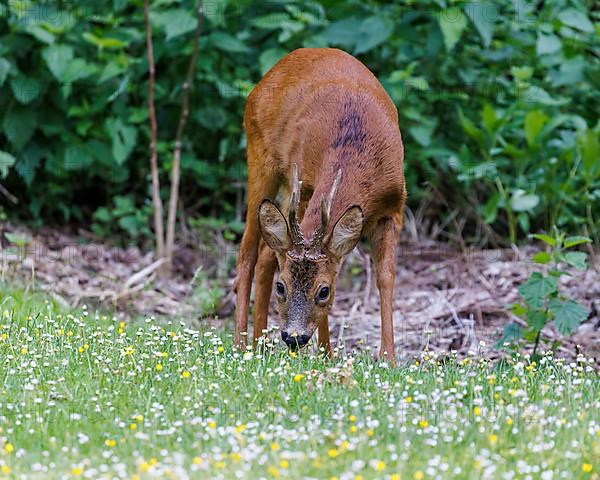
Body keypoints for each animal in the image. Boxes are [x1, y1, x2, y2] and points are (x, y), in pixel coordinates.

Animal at [234, 49, 408, 364]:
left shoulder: (394, 206)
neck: (354, 150)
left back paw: (259, 343)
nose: (294, 337)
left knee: (267, 251)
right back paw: (242, 344)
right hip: (261, 157)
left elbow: (386, 278)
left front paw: (388, 357)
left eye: (324, 291)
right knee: (248, 251)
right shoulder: (306, 186)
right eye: (282, 286)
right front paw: (327, 353)